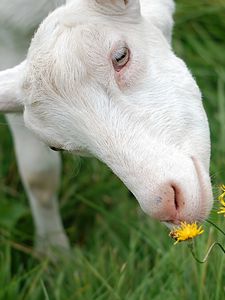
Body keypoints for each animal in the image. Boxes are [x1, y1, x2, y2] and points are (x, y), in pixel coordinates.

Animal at [0, 0, 213, 253]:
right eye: (55, 147)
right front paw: (54, 251)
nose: (165, 205)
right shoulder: (10, 32)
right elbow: (39, 176)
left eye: (121, 56)